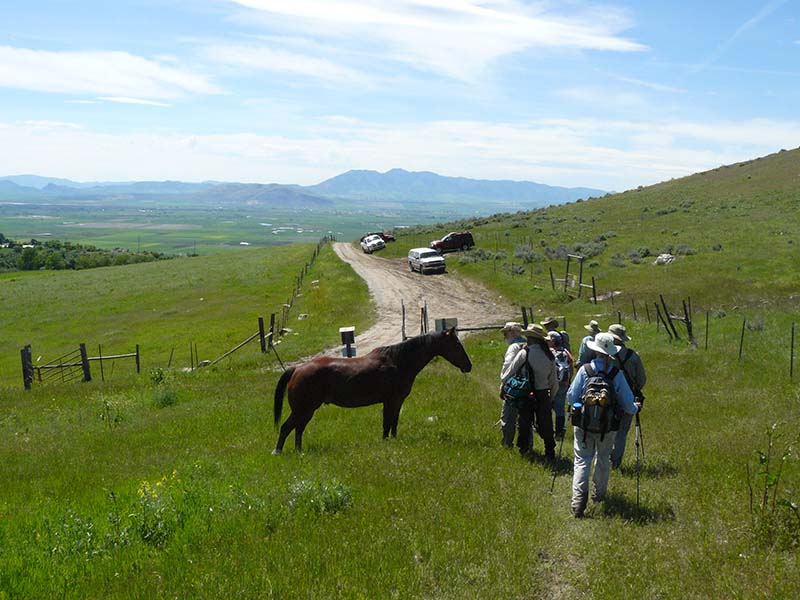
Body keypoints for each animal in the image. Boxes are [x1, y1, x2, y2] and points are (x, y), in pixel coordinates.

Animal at [272, 327, 472, 453]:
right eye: (456, 344)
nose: (468, 365)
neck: (399, 361)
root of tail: (297, 369)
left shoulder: (394, 402)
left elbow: (392, 423)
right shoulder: (392, 400)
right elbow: (388, 423)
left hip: (306, 411)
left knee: (298, 430)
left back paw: (299, 451)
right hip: (303, 410)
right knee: (287, 428)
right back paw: (278, 451)